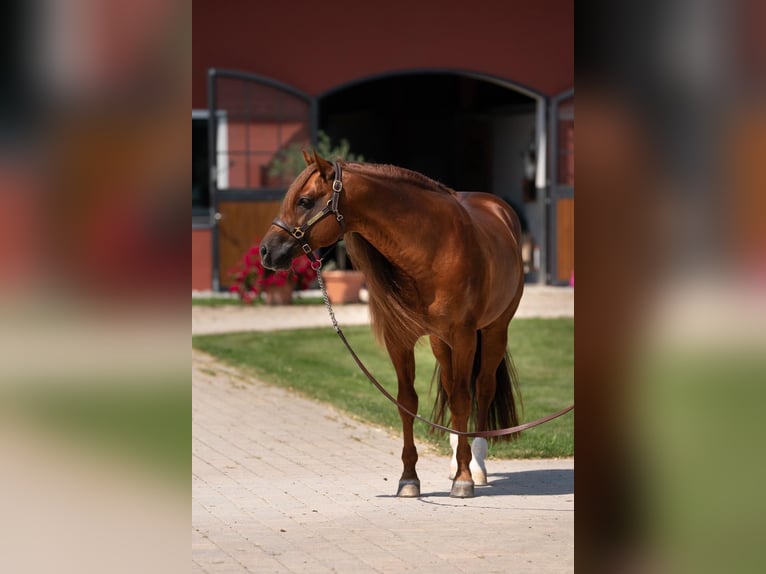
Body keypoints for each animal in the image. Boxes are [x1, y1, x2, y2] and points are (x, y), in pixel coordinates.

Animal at [260, 150, 524, 498]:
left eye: (304, 201)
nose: (266, 251)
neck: (433, 248)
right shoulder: (399, 340)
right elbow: (407, 402)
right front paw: (409, 479)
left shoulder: (464, 336)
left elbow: (463, 400)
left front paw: (464, 479)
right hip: (441, 343)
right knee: (452, 385)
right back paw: (457, 457)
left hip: (494, 331)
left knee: (481, 388)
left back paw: (476, 465)